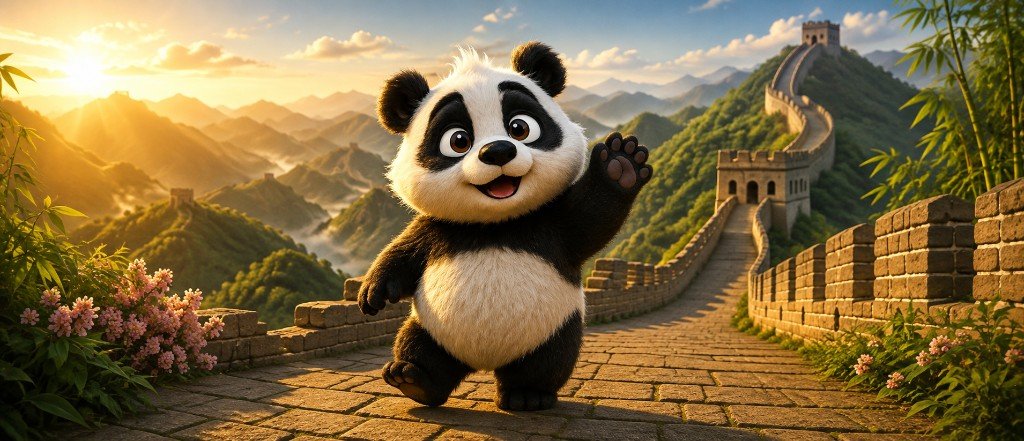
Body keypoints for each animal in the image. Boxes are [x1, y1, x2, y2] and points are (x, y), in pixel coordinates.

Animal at [360, 41, 653, 411]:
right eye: (458, 140)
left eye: (520, 128)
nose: (497, 151)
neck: (495, 224)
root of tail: (484, 362)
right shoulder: (437, 228)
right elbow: (403, 250)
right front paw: (373, 292)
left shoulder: (552, 222)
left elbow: (593, 220)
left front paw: (620, 165)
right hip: (431, 326)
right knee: (418, 345)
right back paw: (414, 380)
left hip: (553, 327)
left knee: (548, 360)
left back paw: (527, 395)